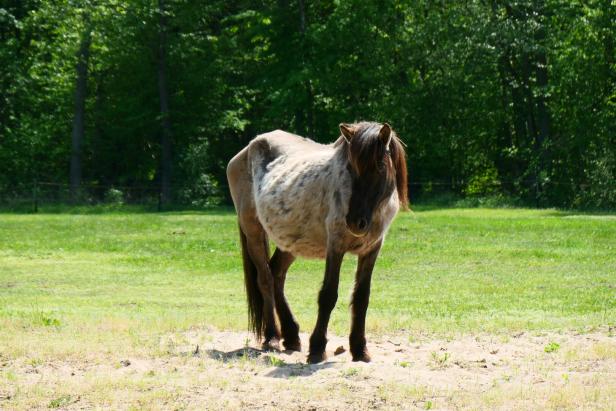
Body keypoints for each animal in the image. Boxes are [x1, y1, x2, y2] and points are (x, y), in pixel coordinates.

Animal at [226, 121, 410, 364]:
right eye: (350, 168)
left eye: (380, 166)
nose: (355, 222)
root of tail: (246, 149)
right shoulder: (336, 246)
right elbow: (328, 295)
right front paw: (316, 348)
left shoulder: (372, 250)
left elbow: (362, 297)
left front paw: (360, 349)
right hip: (253, 232)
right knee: (265, 279)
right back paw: (272, 337)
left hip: (291, 242)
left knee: (276, 274)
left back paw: (291, 335)